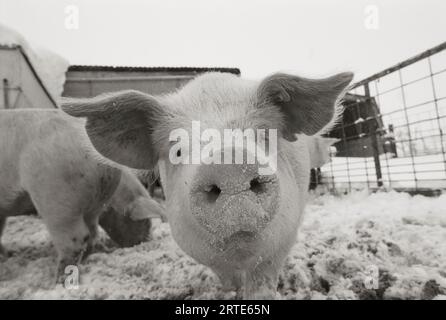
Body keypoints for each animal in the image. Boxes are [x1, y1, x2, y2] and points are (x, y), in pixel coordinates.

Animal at [0, 109, 164, 282]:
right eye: (145, 222)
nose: (146, 241)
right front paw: (8, 255)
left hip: (57, 198)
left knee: (76, 239)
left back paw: (57, 281)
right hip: (87, 205)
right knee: (90, 235)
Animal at [61, 71, 354, 298]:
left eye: (265, 135)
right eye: (177, 149)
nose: (229, 161)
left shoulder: (283, 239)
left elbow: (263, 281)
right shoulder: (202, 253)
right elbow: (226, 279)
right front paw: (230, 292)